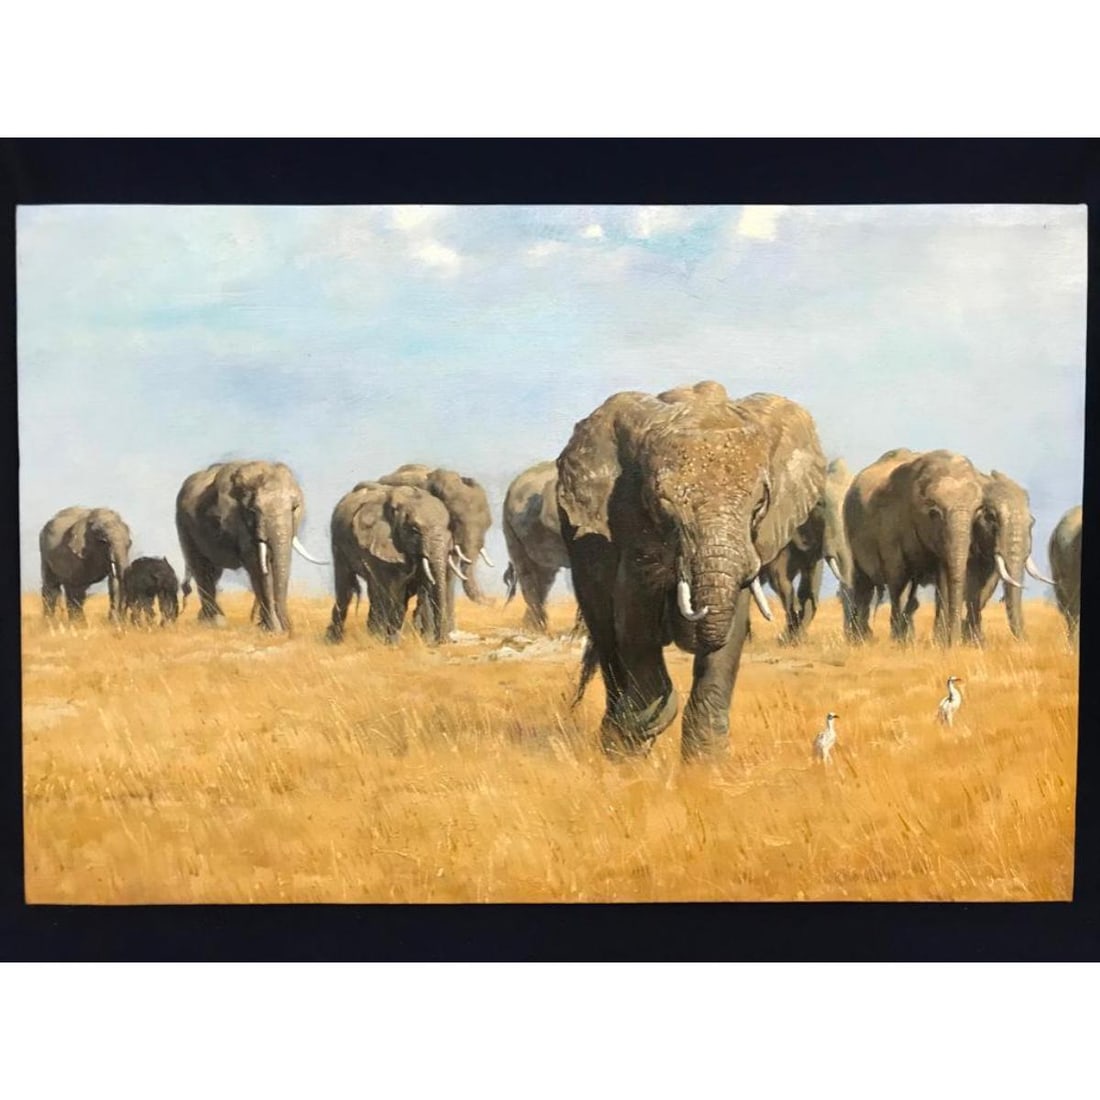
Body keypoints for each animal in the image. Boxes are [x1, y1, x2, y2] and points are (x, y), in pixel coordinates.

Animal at [175, 460, 326, 633]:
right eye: (253, 511)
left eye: (294, 507)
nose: (289, 630)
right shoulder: (236, 521)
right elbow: (258, 566)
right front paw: (273, 630)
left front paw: (268, 628)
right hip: (183, 525)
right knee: (200, 568)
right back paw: (214, 622)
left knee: (214, 572)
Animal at [326, 482, 454, 645]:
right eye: (414, 530)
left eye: (448, 528)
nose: (443, 641)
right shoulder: (376, 541)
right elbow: (393, 590)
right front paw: (390, 643)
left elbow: (423, 586)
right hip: (337, 542)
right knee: (346, 588)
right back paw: (334, 641)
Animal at [378, 464, 493, 636]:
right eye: (455, 520)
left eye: (488, 524)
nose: (493, 601)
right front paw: (428, 635)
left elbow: (448, 574)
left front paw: (448, 632)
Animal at [557, 381, 825, 761]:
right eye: (660, 504)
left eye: (760, 503)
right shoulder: (628, 525)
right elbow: (634, 621)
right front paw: (638, 732)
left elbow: (728, 637)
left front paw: (706, 764)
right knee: (607, 638)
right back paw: (617, 738)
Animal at [844, 449, 984, 646]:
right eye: (934, 512)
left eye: (977, 512)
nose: (955, 642)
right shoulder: (889, 525)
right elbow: (897, 577)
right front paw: (898, 642)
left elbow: (943, 580)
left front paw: (939, 643)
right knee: (864, 584)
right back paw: (861, 640)